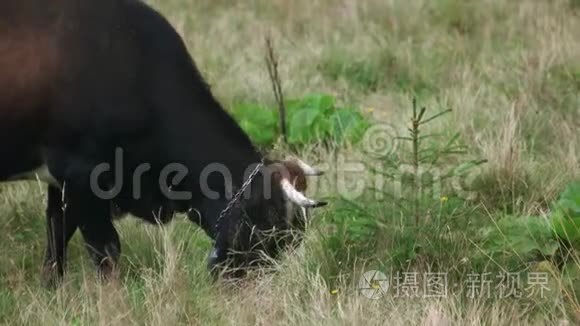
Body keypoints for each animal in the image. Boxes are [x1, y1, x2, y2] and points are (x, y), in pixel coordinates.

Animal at [0, 0, 326, 286]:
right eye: (271, 233)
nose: (256, 291)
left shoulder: (62, 181)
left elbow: (56, 235)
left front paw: (51, 290)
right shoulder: (79, 172)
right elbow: (105, 249)